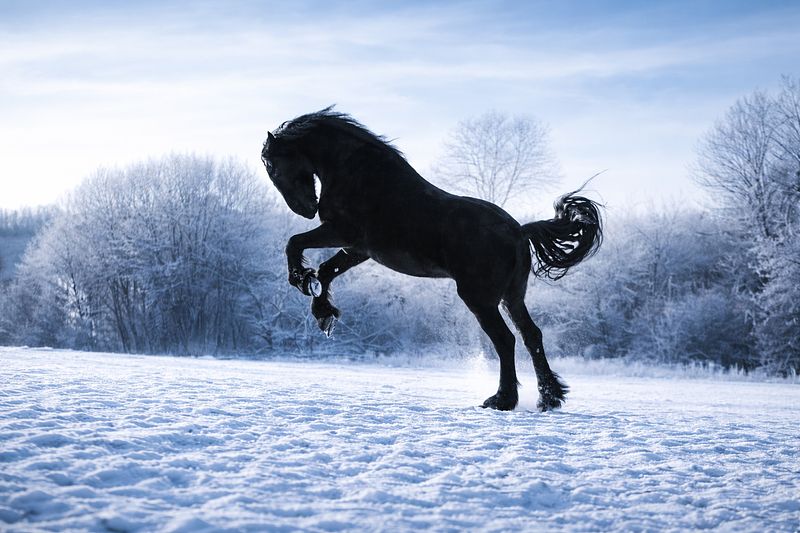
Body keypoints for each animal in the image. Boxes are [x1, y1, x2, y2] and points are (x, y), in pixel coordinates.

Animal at [261, 107, 602, 411]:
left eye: (272, 165)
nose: (306, 209)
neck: (357, 172)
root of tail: (519, 231)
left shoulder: (341, 233)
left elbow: (294, 243)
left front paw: (300, 280)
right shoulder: (358, 249)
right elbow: (325, 270)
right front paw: (323, 310)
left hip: (479, 299)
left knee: (505, 340)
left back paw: (502, 400)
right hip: (512, 297)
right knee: (532, 336)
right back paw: (549, 398)